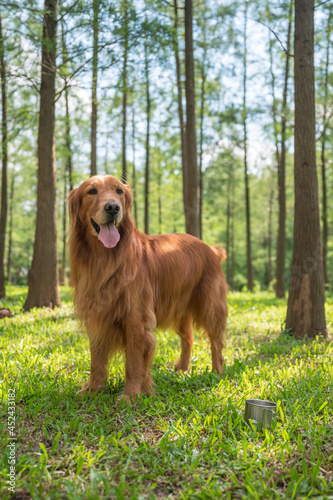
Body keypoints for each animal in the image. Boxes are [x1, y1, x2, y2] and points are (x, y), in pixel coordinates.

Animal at [68, 176, 227, 402]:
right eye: (91, 191)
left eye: (119, 191)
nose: (113, 208)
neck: (105, 259)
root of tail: (211, 249)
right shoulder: (96, 314)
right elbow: (96, 359)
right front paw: (93, 389)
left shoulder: (137, 319)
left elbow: (133, 362)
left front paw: (131, 395)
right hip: (180, 308)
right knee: (187, 339)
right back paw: (182, 369)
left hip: (210, 307)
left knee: (216, 342)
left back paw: (216, 372)